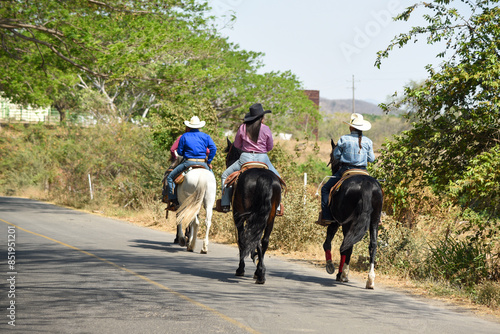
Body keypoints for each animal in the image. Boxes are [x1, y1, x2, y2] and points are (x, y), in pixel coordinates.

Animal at [225, 138, 284, 284]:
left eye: (227, 156)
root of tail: (263, 177)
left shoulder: (238, 216)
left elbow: (241, 239)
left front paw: (240, 269)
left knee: (254, 238)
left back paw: (258, 271)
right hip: (270, 216)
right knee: (264, 240)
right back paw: (260, 273)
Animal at [322, 140, 384, 288]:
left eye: (332, 155)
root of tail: (366, 184)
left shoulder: (335, 221)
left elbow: (328, 243)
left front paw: (331, 267)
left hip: (347, 222)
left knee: (346, 245)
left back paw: (343, 274)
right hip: (374, 220)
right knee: (373, 245)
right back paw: (370, 280)